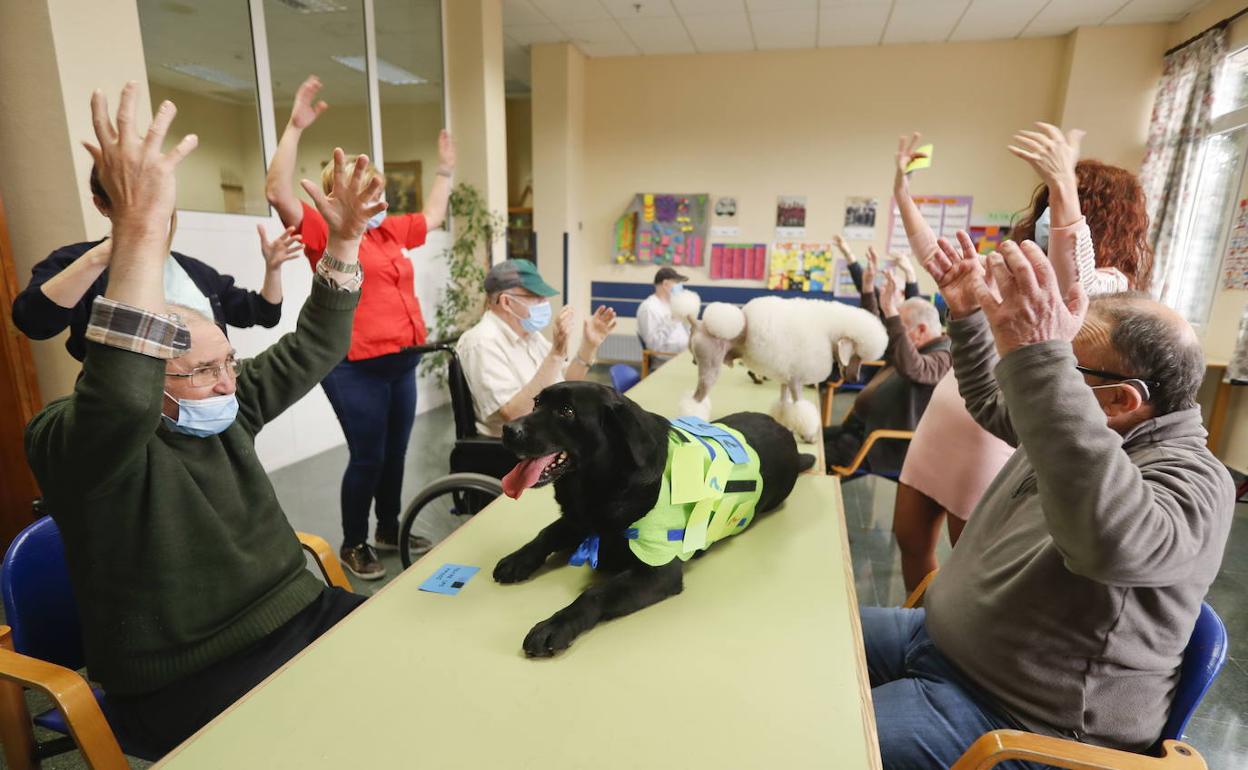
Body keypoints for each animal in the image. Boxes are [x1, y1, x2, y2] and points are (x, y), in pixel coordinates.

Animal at [491, 381, 813, 658]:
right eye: (536, 403)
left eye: (566, 411)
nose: (507, 429)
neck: (604, 485)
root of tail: (787, 434)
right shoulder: (579, 520)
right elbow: (545, 534)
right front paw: (517, 559)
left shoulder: (658, 572)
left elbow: (595, 593)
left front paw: (555, 625)